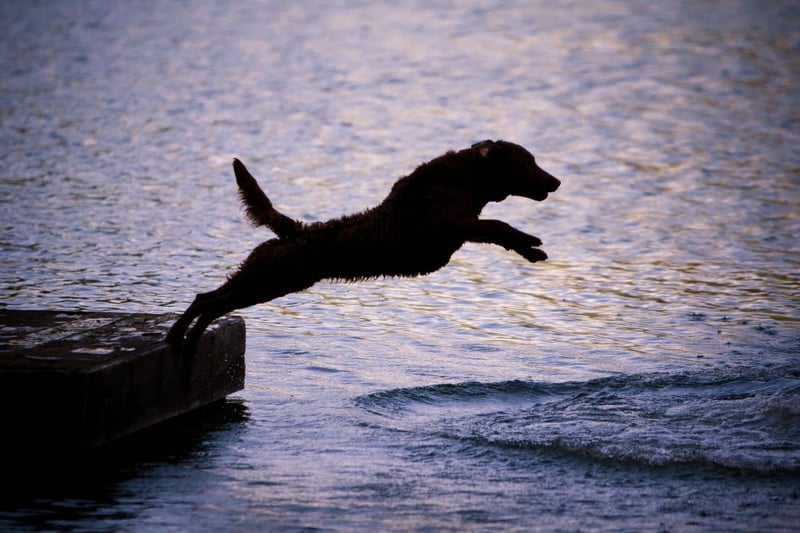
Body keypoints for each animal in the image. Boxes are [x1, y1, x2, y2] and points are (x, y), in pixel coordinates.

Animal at [166, 140, 560, 354]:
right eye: (528, 162)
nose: (556, 181)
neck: (466, 177)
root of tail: (294, 230)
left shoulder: (463, 229)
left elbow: (499, 231)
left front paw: (531, 251)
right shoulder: (453, 225)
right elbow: (499, 225)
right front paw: (531, 243)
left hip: (263, 279)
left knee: (211, 300)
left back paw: (187, 340)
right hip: (268, 281)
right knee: (209, 301)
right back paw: (178, 338)